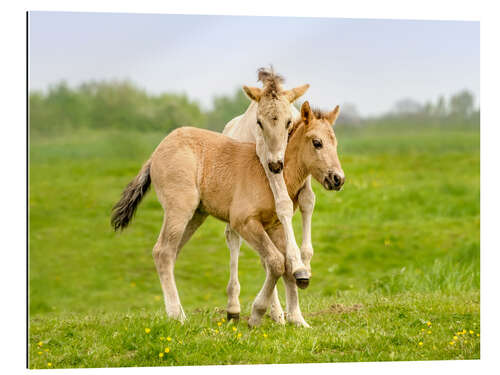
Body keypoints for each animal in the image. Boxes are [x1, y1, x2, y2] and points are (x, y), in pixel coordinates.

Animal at [110, 101, 344, 328]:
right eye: (317, 143)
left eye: (335, 143)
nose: (338, 179)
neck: (272, 174)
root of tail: (156, 153)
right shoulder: (244, 222)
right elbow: (276, 262)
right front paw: (256, 314)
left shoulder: (275, 226)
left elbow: (287, 265)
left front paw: (297, 319)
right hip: (180, 209)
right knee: (163, 252)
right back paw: (178, 316)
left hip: (196, 215)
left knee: (170, 253)